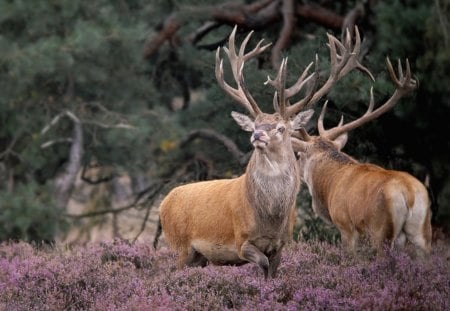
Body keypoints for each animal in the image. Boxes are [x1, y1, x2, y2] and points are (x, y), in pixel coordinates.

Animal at [292, 59, 432, 258]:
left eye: (298, 155)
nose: (294, 169)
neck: (329, 187)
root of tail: (409, 193)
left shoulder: (345, 225)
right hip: (422, 231)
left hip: (381, 232)